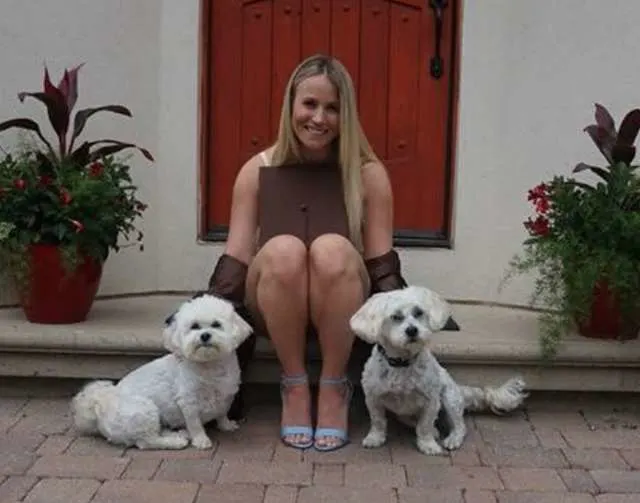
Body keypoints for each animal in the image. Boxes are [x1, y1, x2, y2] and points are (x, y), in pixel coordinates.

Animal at [69, 294, 251, 450]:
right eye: (194, 327)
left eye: (216, 324)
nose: (205, 335)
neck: (209, 366)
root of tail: (101, 405)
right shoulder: (188, 401)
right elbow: (195, 424)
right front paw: (201, 440)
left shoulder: (226, 395)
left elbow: (222, 413)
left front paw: (226, 425)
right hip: (144, 411)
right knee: (146, 441)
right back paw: (176, 441)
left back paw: (178, 433)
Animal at [352, 288, 528, 456]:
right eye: (396, 317)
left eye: (418, 313)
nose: (412, 330)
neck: (402, 363)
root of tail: (459, 389)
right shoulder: (373, 398)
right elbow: (378, 421)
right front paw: (375, 438)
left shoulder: (431, 401)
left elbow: (425, 425)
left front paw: (428, 445)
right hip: (405, 413)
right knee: (412, 420)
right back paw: (434, 430)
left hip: (450, 399)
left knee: (459, 426)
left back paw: (452, 438)